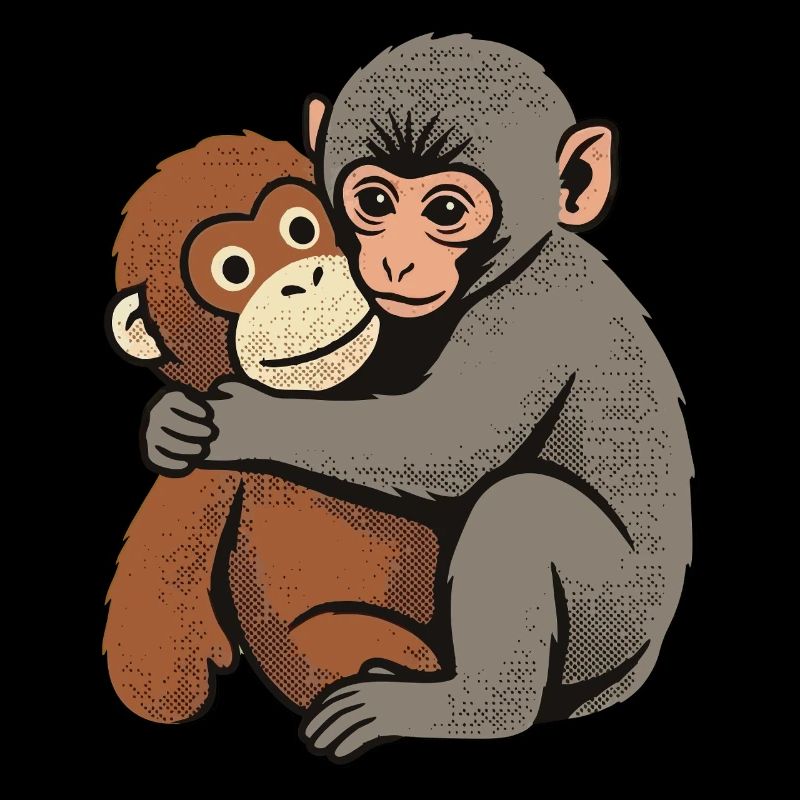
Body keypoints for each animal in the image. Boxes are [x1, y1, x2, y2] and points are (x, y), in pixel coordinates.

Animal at [143, 35, 692, 762]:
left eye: (446, 212)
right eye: (375, 201)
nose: (397, 262)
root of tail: (636, 669)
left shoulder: (530, 311)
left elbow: (446, 448)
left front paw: (244, 421)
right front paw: (166, 426)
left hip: (612, 615)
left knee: (522, 507)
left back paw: (469, 708)